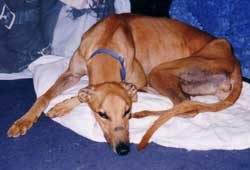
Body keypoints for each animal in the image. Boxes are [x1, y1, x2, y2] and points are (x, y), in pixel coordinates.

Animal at [8, 13, 242, 155]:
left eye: (127, 111)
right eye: (102, 115)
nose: (123, 150)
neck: (107, 41)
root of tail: (235, 61)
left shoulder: (136, 81)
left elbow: (82, 94)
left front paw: (62, 105)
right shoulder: (72, 74)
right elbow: (45, 96)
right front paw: (25, 120)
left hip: (161, 72)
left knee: (186, 107)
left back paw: (146, 110)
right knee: (187, 105)